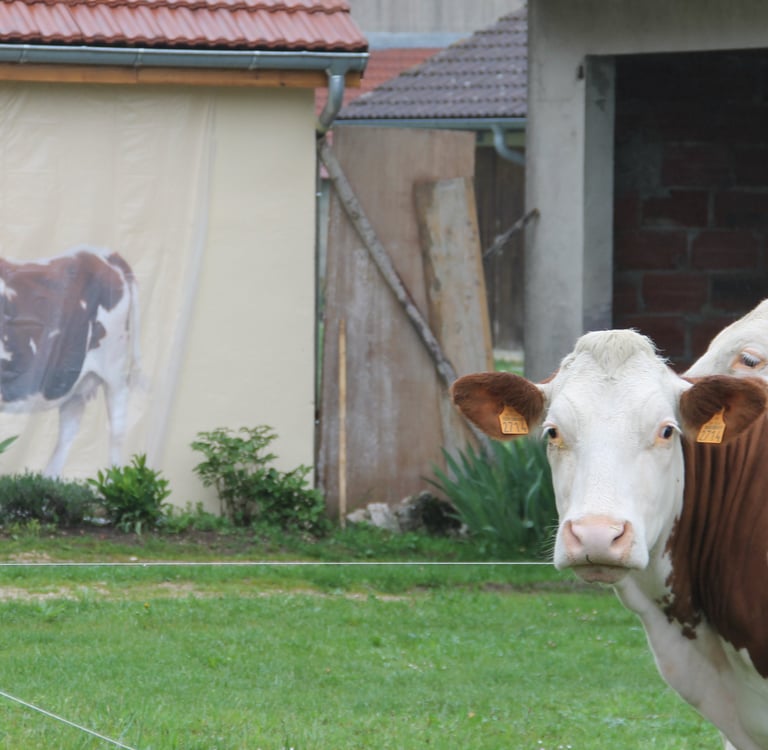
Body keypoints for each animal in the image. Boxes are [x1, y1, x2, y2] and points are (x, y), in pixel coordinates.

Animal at [0, 246, 140, 475]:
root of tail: (103, 254)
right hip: (73, 376)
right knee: (69, 427)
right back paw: (48, 478)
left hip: (114, 367)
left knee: (117, 426)